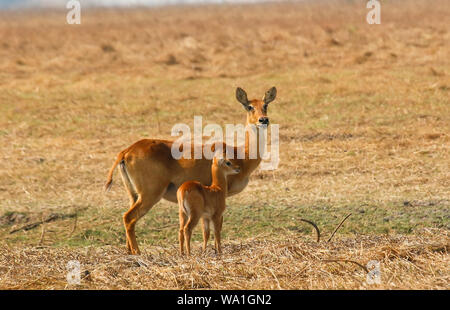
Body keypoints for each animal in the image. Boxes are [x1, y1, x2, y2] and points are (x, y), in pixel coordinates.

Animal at [106, 86, 274, 253]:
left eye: (265, 105)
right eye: (249, 106)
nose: (263, 120)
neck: (241, 155)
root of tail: (126, 151)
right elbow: (216, 226)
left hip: (134, 195)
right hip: (150, 195)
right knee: (129, 218)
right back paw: (138, 253)